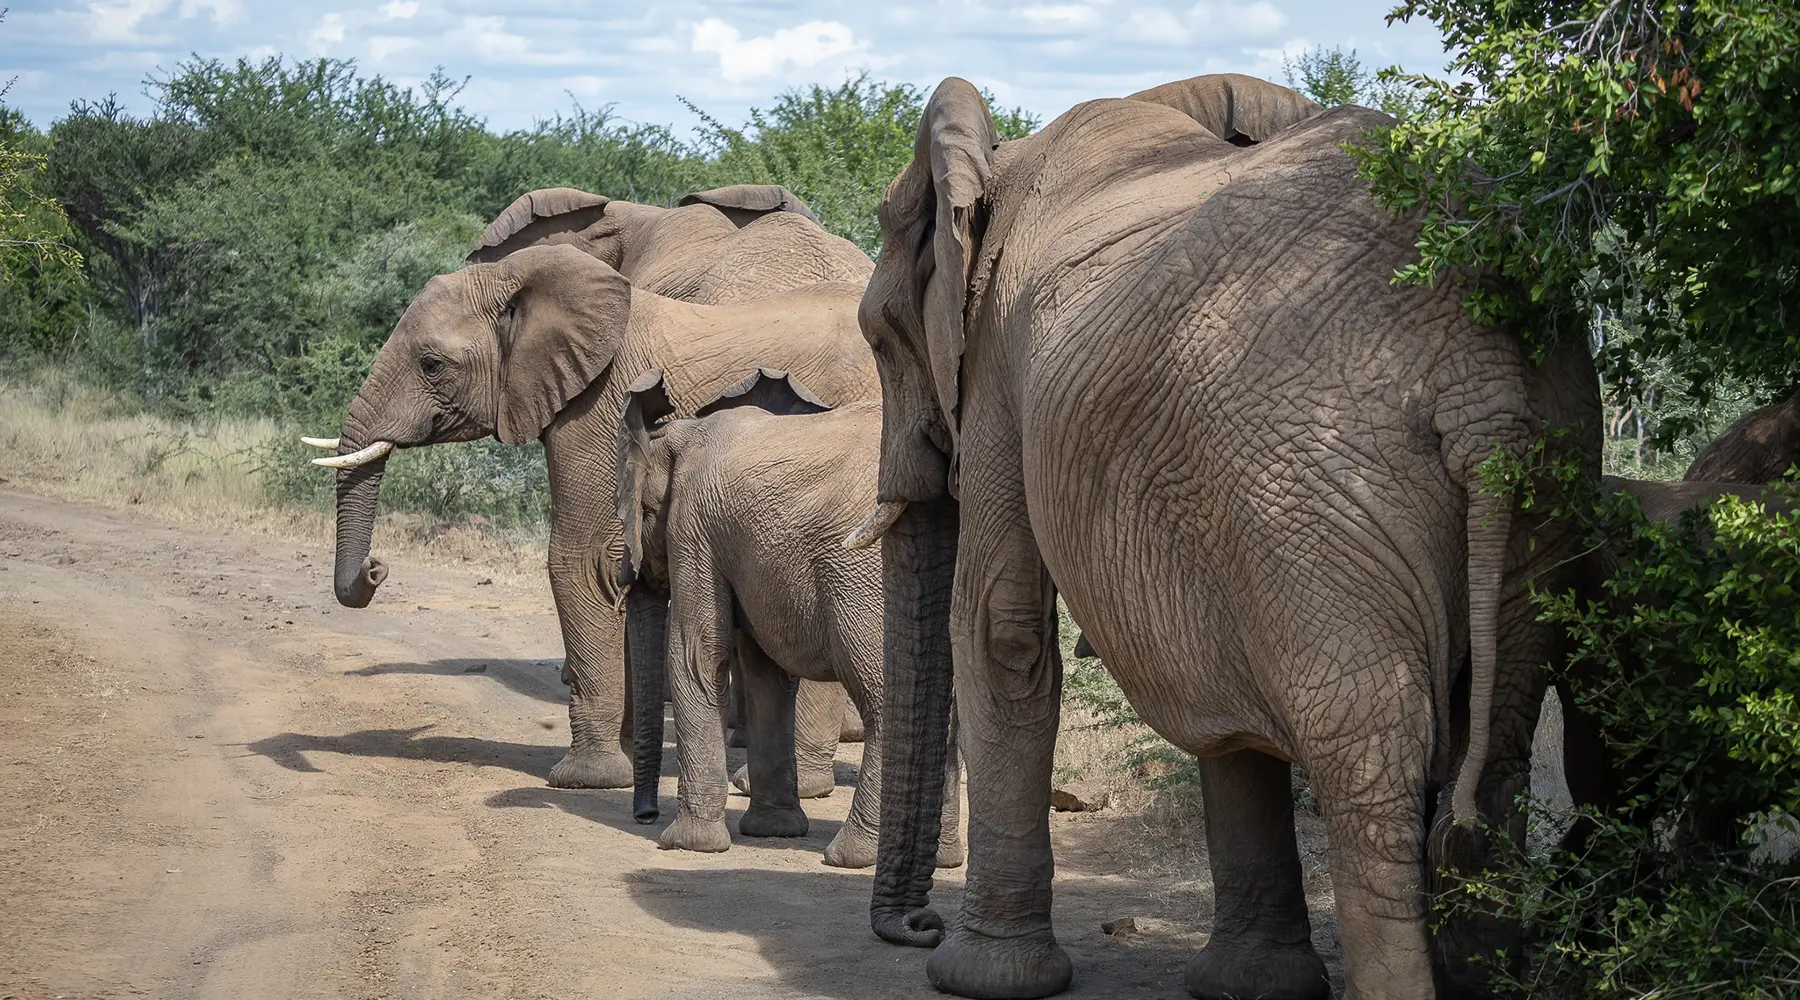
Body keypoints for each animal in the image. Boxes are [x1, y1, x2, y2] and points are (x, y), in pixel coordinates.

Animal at [311, 241, 878, 793]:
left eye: (431, 365)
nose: (376, 570)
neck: (518, 276)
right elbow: (619, 566)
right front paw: (630, 760)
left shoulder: (598, 408)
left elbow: (583, 562)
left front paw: (585, 780)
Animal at [613, 368, 963, 868]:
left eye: (639, 512)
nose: (645, 817)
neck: (681, 433)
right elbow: (765, 674)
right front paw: (773, 831)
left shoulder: (694, 527)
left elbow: (697, 656)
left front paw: (685, 844)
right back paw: (943, 860)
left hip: (869, 568)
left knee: (887, 695)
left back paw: (852, 856)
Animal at [842, 74, 1600, 1000]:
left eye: (881, 338)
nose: (917, 925)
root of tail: (1478, 375)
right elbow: (1224, 700)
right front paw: (1251, 986)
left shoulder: (996, 375)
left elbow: (1000, 632)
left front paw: (978, 978)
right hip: (1540, 482)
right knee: (1495, 755)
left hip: (1310, 490)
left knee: (1369, 759)